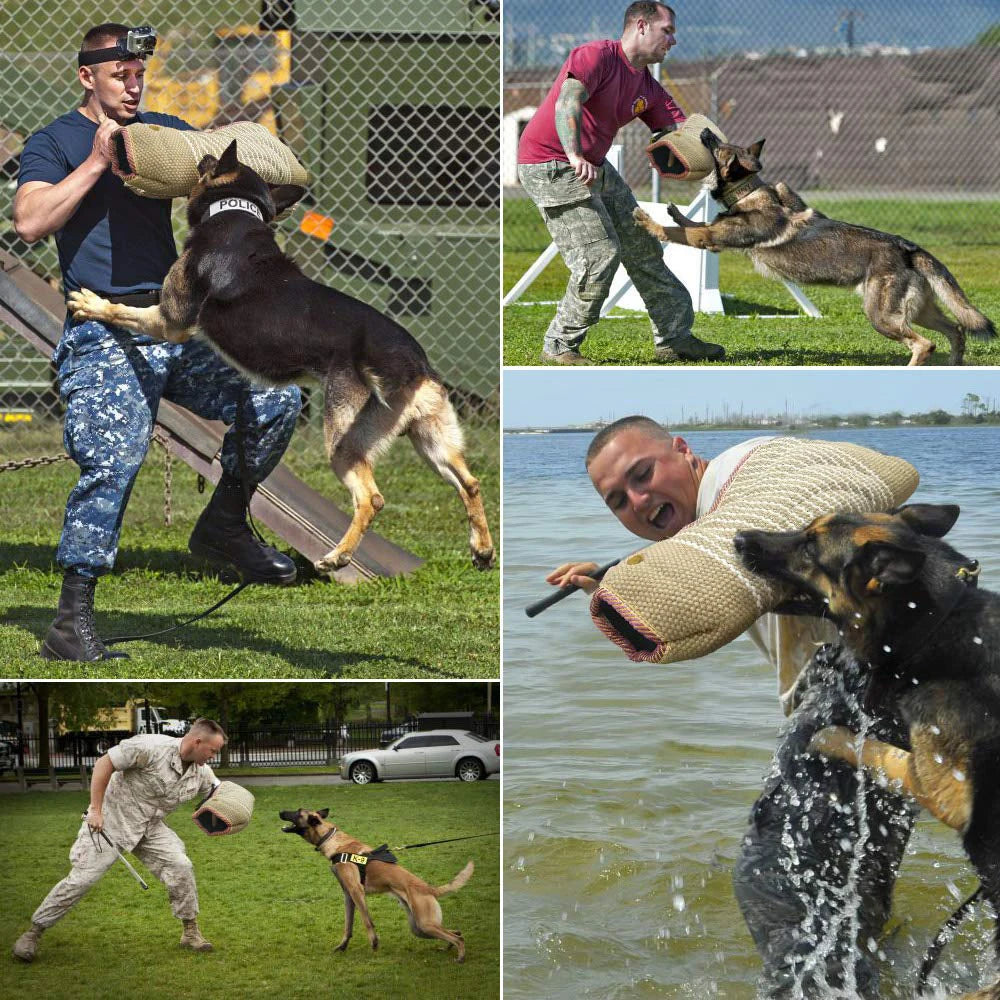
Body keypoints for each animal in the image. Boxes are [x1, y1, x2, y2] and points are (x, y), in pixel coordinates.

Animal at [278, 804, 472, 960]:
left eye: (298, 812)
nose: (280, 811)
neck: (331, 839)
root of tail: (429, 889)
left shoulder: (357, 891)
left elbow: (367, 921)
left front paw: (374, 944)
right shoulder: (348, 895)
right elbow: (348, 925)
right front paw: (343, 946)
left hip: (424, 924)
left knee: (458, 938)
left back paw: (460, 956)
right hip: (419, 927)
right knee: (456, 932)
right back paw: (448, 947)